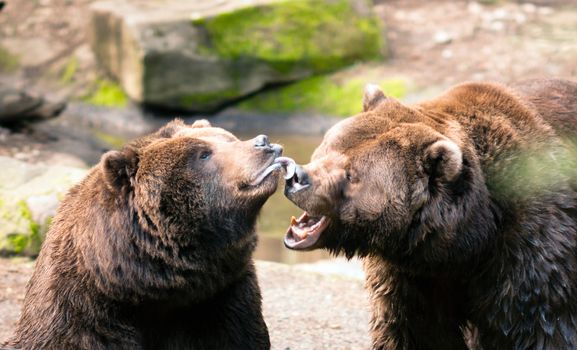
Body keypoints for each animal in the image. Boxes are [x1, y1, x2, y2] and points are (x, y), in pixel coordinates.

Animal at [284, 79, 576, 350]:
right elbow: (417, 330)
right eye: (329, 146)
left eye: (351, 174)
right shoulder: (411, 275)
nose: (297, 177)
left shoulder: (527, 249)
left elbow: (539, 325)